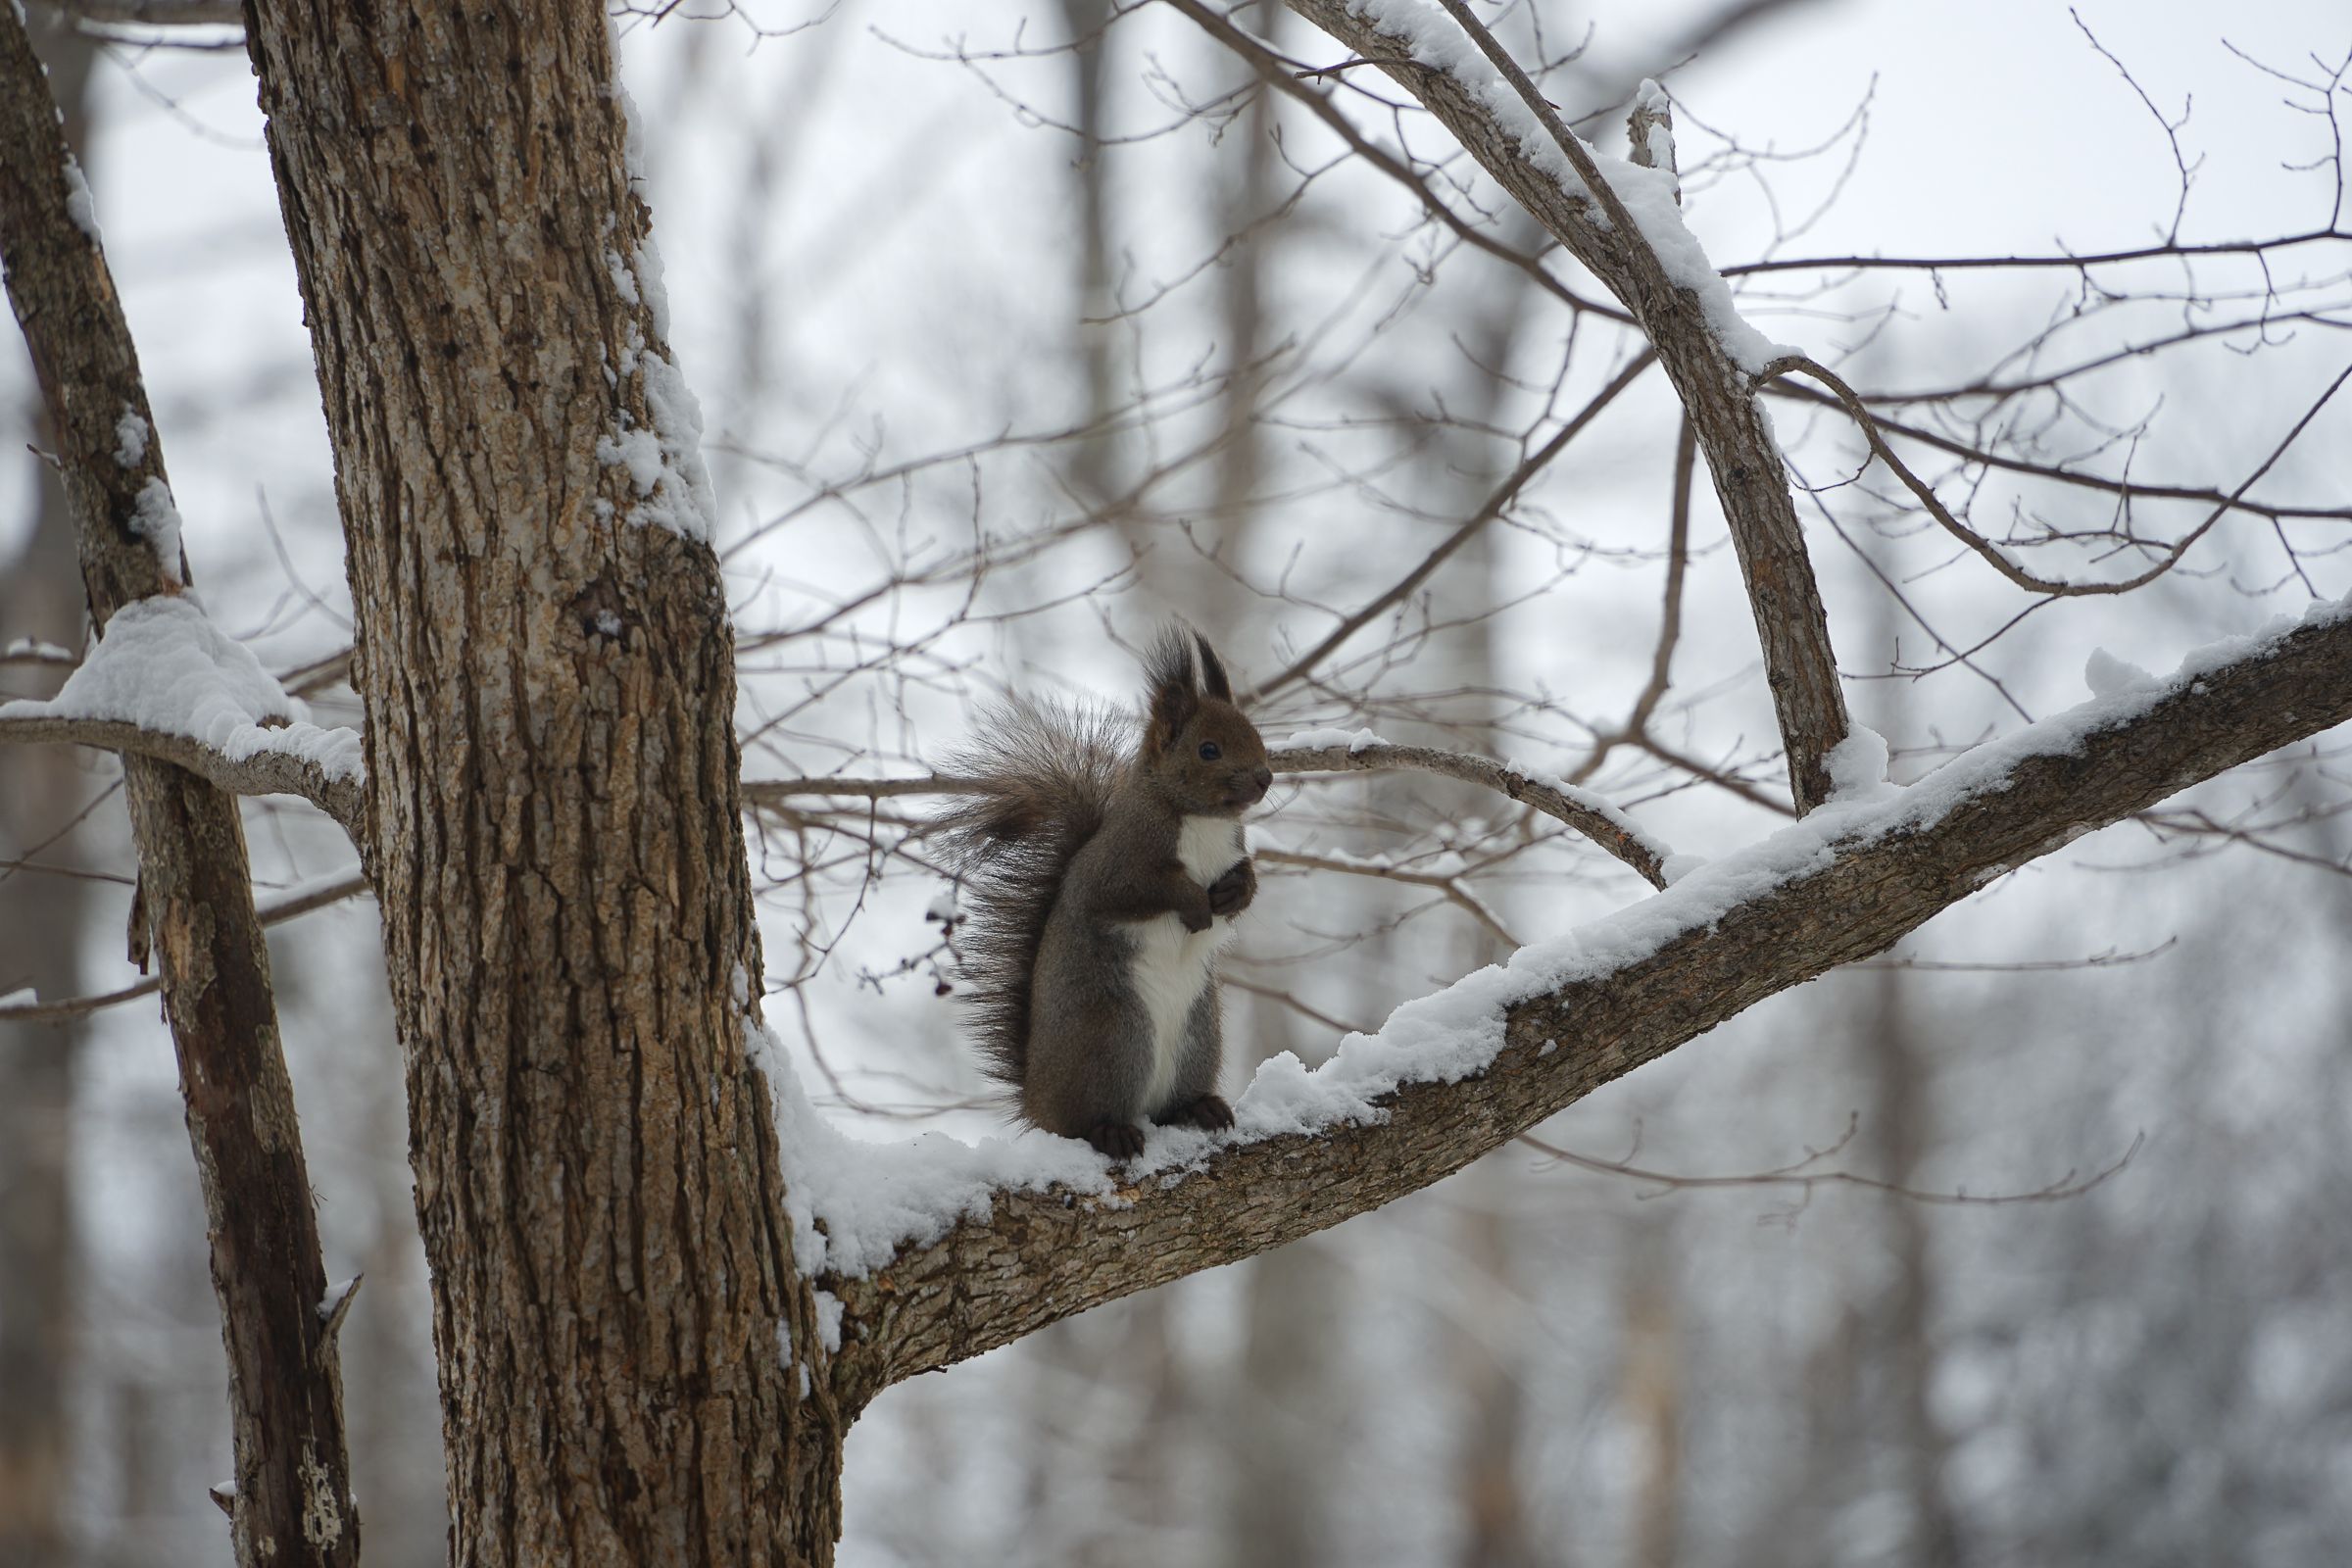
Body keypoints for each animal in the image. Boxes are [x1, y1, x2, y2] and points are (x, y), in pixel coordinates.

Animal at [938, 628, 1273, 1160]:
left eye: (1256, 735)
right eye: (1208, 750)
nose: (1265, 777)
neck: (1200, 822)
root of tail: (1037, 1103)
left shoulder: (1232, 851)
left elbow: (1245, 883)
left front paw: (1235, 894)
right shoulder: (1116, 865)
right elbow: (1139, 890)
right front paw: (1195, 903)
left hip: (1199, 1039)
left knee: (1172, 1105)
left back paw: (1201, 1107)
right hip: (1114, 1038)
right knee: (1087, 1120)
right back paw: (1111, 1132)